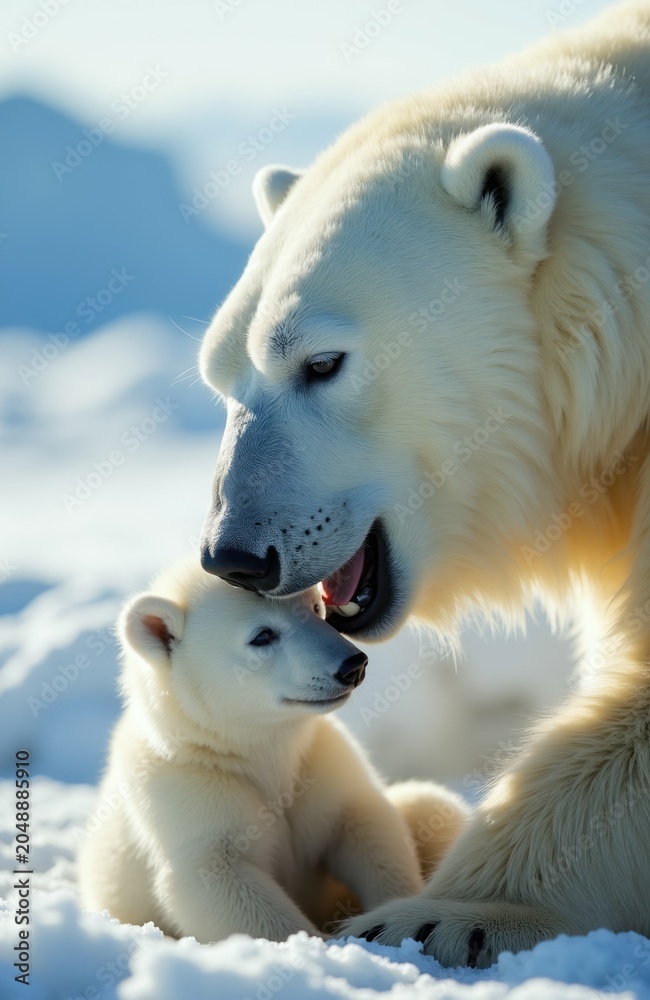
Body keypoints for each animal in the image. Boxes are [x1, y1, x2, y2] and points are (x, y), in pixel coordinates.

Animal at [77, 559, 468, 942]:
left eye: (315, 607)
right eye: (262, 635)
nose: (352, 665)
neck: (262, 749)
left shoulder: (320, 762)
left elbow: (368, 826)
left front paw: (395, 910)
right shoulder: (188, 787)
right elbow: (215, 878)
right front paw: (316, 942)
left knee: (428, 801)